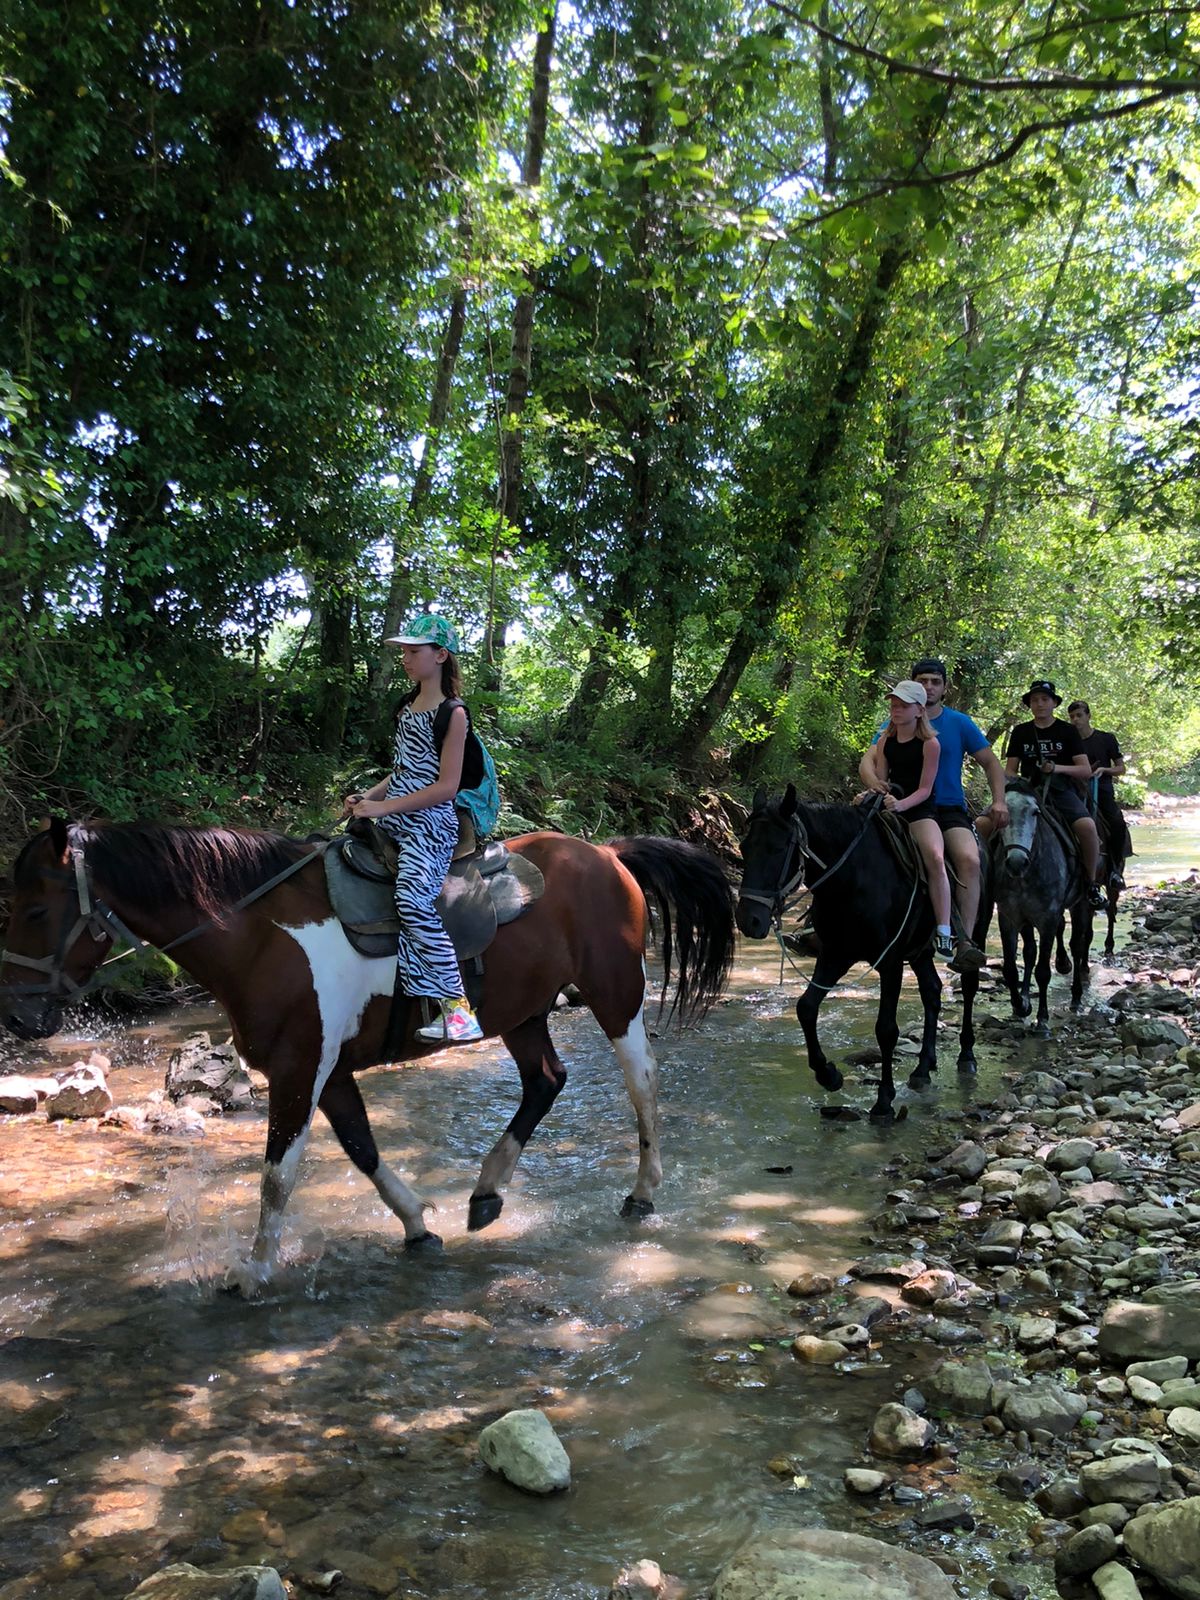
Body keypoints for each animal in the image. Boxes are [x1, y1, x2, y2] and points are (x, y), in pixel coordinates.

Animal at [2, 819, 732, 1292]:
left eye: (35, 911)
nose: (21, 1015)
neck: (260, 938)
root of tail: (607, 853)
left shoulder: (300, 1071)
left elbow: (278, 1175)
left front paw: (252, 1271)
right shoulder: (325, 1073)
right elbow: (361, 1148)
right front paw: (417, 1226)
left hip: (615, 995)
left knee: (642, 1082)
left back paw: (642, 1194)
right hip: (522, 1014)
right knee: (546, 1082)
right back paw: (486, 1191)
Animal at [742, 790, 985, 1126]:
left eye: (777, 849)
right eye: (743, 848)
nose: (747, 920)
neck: (853, 878)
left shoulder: (890, 962)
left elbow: (886, 1029)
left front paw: (883, 1102)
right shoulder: (835, 954)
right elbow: (806, 1008)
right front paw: (829, 1075)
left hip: (975, 931)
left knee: (970, 985)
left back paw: (966, 1056)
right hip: (919, 951)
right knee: (932, 992)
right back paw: (923, 1068)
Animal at [992, 777, 1094, 1036]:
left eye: (1035, 812)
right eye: (1000, 814)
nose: (1017, 862)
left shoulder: (1048, 918)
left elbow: (1043, 971)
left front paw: (1042, 1020)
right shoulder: (1009, 917)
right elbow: (1010, 968)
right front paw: (1021, 1005)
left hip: (1080, 904)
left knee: (1078, 945)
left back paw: (1076, 997)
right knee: (1030, 951)